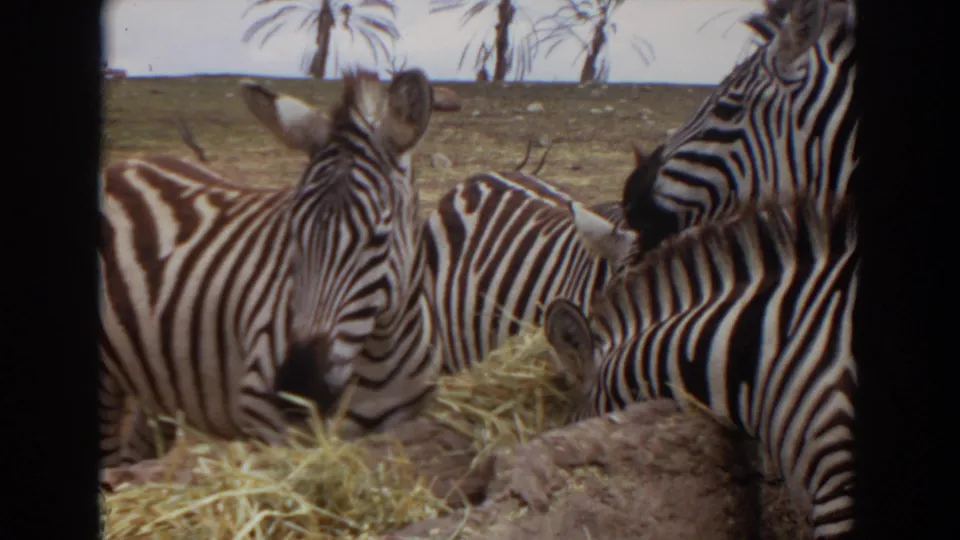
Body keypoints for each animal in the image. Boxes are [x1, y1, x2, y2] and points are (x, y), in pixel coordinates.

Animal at [98, 69, 441, 469]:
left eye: (379, 238)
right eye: (292, 230)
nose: (297, 385)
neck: (376, 358)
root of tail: (126, 163)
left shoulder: (401, 423)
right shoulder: (264, 417)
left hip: (157, 381)